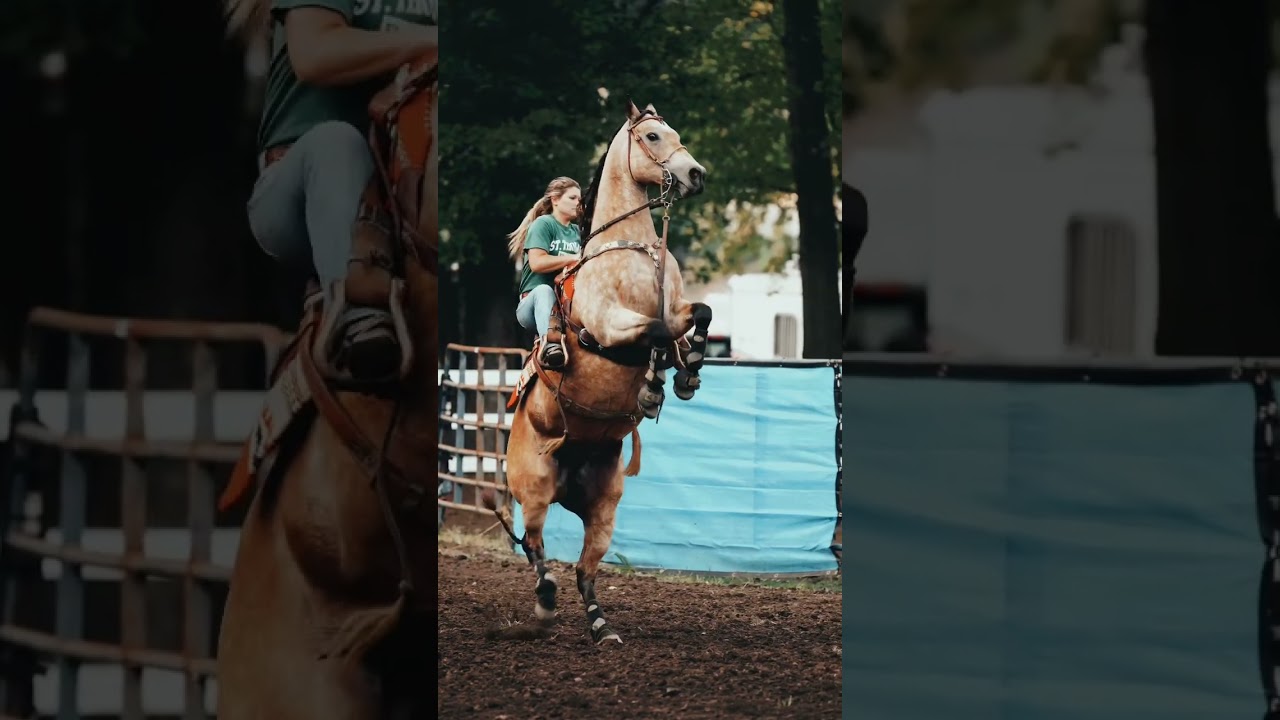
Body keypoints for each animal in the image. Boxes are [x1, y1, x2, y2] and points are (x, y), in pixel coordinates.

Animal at [488, 100, 714, 645]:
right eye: (652, 136)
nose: (695, 174)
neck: (630, 248)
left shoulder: (678, 307)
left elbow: (697, 314)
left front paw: (688, 370)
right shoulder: (610, 322)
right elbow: (654, 332)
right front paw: (653, 388)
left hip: (605, 504)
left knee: (583, 570)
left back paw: (600, 625)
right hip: (534, 489)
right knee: (536, 546)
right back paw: (545, 601)